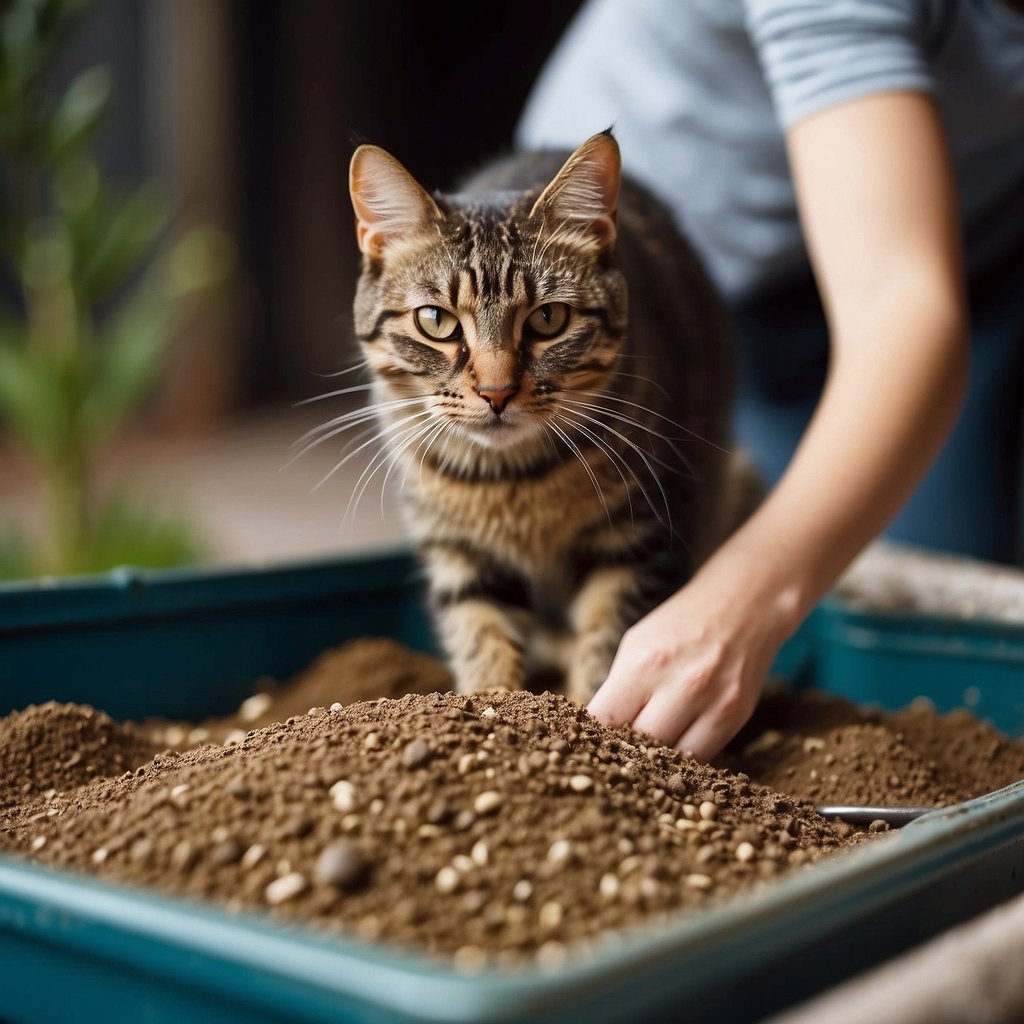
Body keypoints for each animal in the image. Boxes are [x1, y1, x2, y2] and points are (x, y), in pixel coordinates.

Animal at [344, 132, 753, 700]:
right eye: (435, 321)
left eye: (548, 318)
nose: (496, 392)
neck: (513, 482)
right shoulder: (459, 553)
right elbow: (480, 638)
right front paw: (488, 703)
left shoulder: (638, 539)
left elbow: (607, 649)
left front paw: (585, 714)